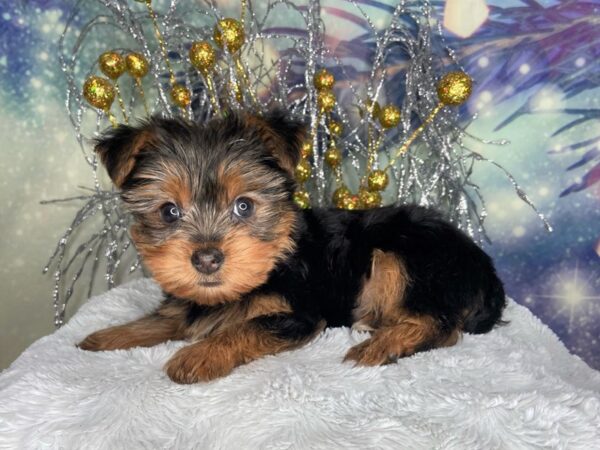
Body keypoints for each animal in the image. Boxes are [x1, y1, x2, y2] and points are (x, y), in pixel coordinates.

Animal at [77, 110, 504, 384]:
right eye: (169, 211)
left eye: (244, 206)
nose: (207, 259)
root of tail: (485, 266)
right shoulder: (186, 304)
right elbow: (162, 319)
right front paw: (106, 337)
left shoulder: (298, 314)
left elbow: (244, 327)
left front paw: (198, 356)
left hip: (407, 258)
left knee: (442, 324)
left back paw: (383, 345)